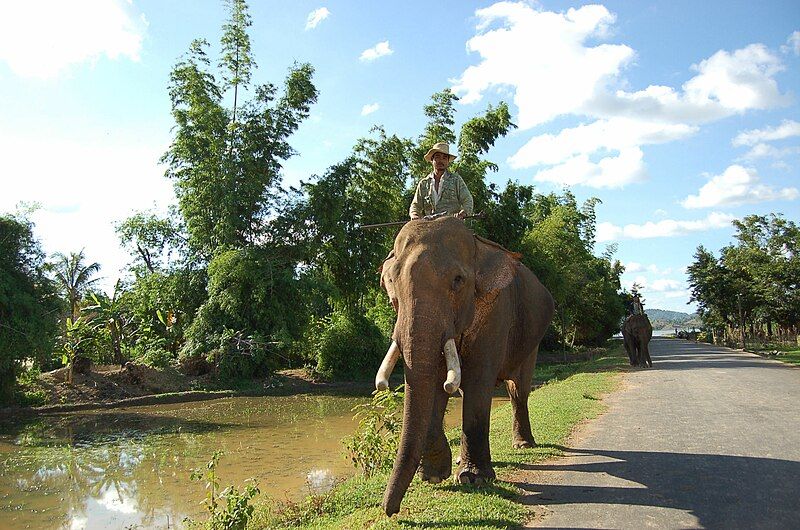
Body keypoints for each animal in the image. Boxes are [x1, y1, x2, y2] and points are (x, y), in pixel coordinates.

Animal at [372, 216, 552, 516]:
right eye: (390, 284)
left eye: (458, 280)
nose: (390, 511)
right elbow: (434, 383)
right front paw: (434, 474)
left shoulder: (497, 310)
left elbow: (478, 381)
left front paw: (473, 479)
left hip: (532, 339)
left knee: (518, 390)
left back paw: (523, 445)